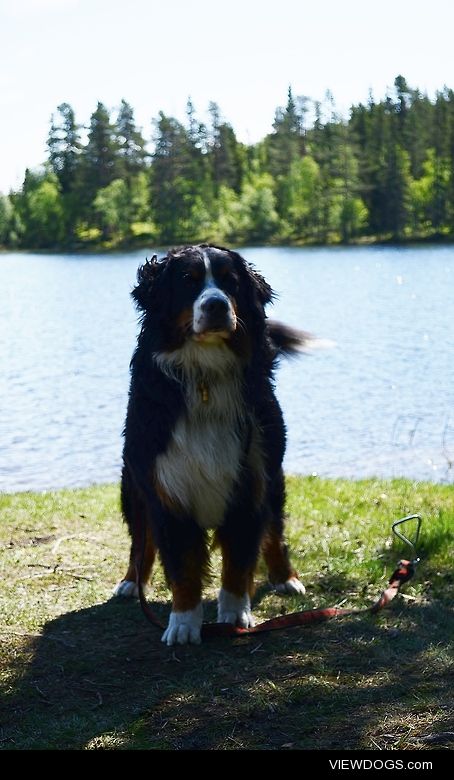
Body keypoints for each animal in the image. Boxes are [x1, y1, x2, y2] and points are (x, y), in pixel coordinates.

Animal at [113, 244, 306, 644]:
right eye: (189, 281)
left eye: (230, 282)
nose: (217, 305)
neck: (205, 374)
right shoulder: (166, 485)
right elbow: (182, 566)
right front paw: (184, 623)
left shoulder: (251, 480)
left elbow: (240, 559)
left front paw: (233, 614)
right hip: (132, 486)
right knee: (140, 540)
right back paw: (131, 582)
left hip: (273, 475)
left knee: (275, 532)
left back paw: (286, 577)